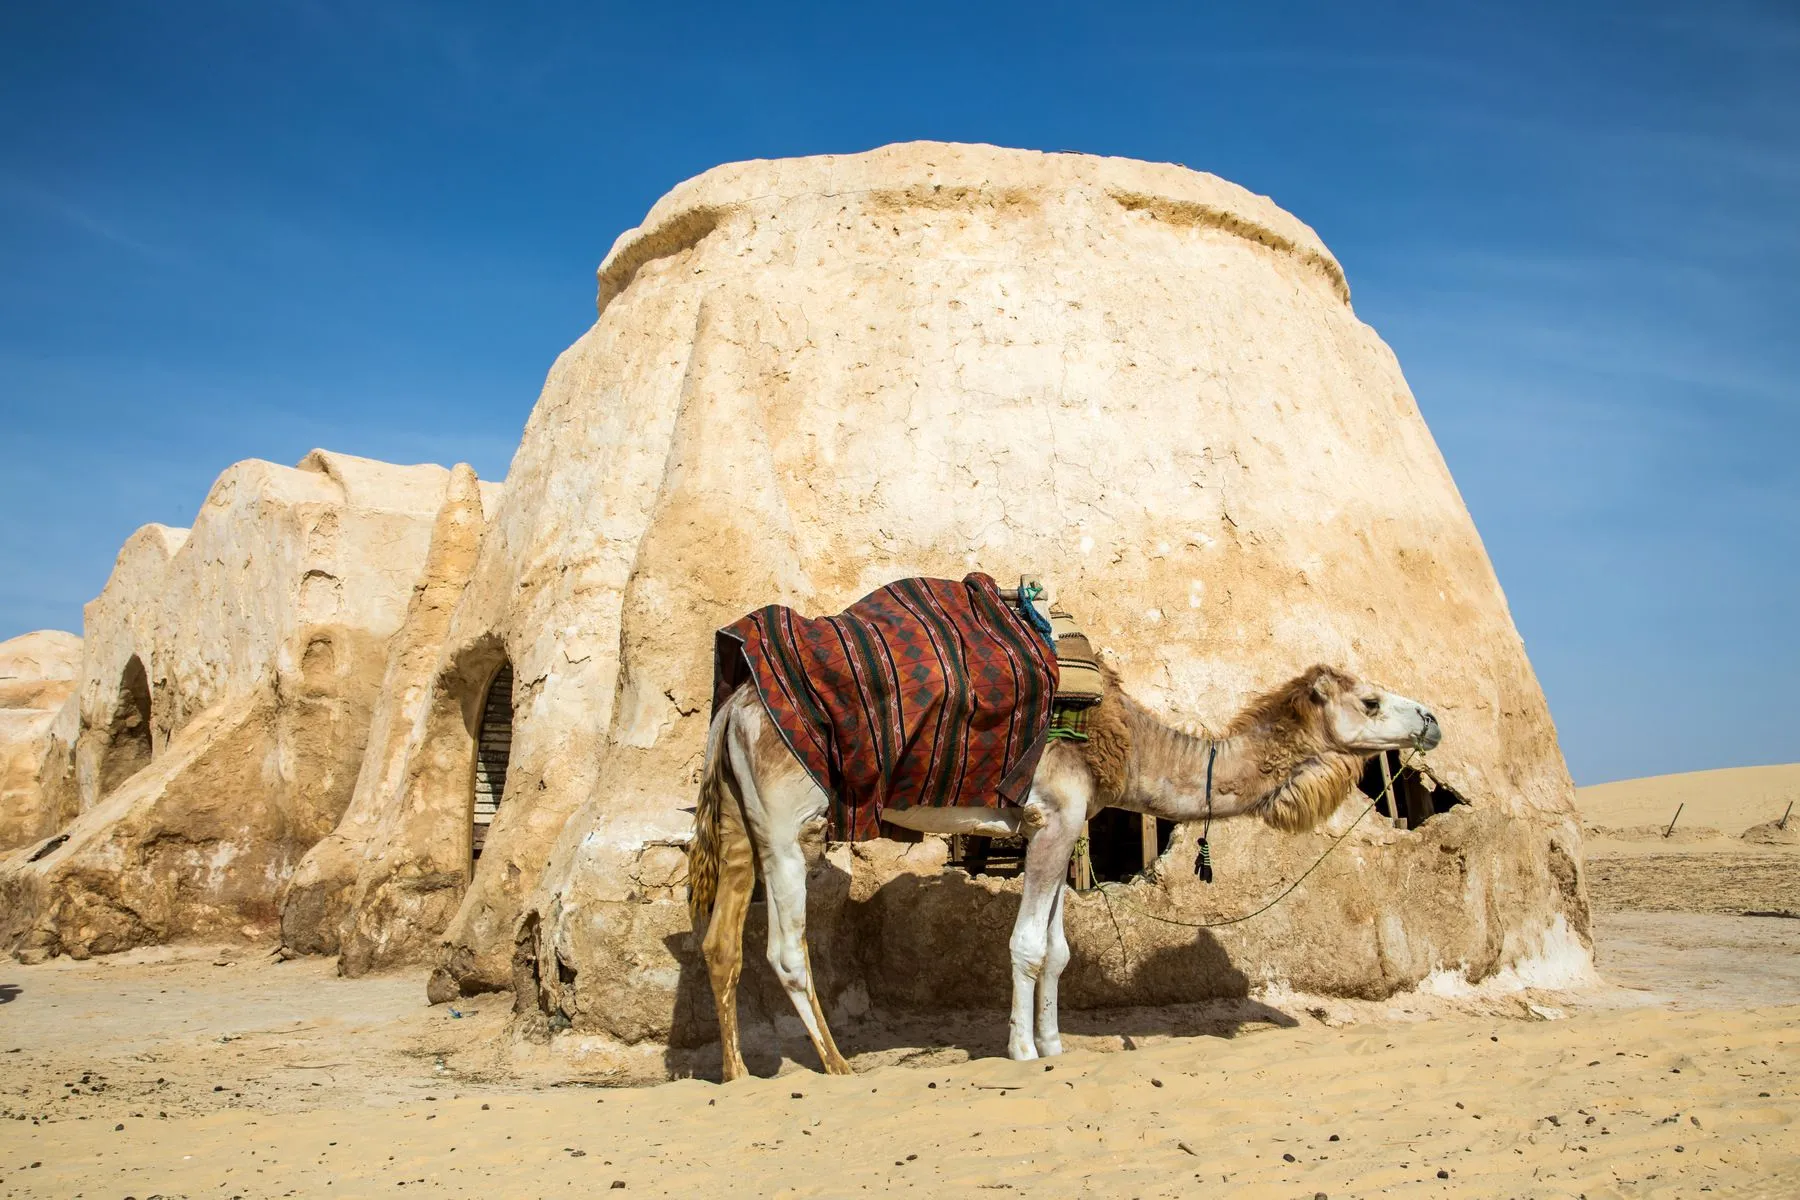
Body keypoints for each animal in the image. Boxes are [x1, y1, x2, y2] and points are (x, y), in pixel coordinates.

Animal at [680, 662, 1440, 1086]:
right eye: (1370, 702)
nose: (1431, 719)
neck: (1128, 744)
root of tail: (731, 709)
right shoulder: (1050, 819)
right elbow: (1026, 946)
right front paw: (1021, 1049)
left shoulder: (1069, 829)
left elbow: (1059, 951)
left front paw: (1052, 1044)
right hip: (787, 820)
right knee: (785, 948)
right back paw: (838, 1066)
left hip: (741, 817)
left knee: (720, 943)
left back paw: (737, 1075)